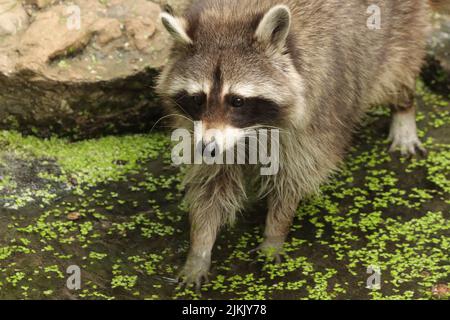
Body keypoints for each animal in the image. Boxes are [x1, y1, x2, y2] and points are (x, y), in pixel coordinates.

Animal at [156, 0, 440, 288]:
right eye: (197, 99)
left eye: (237, 101)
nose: (207, 148)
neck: (233, 15)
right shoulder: (197, 130)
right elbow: (210, 183)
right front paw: (200, 247)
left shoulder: (312, 117)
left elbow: (293, 177)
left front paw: (274, 233)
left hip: (402, 27)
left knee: (399, 68)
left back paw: (404, 109)